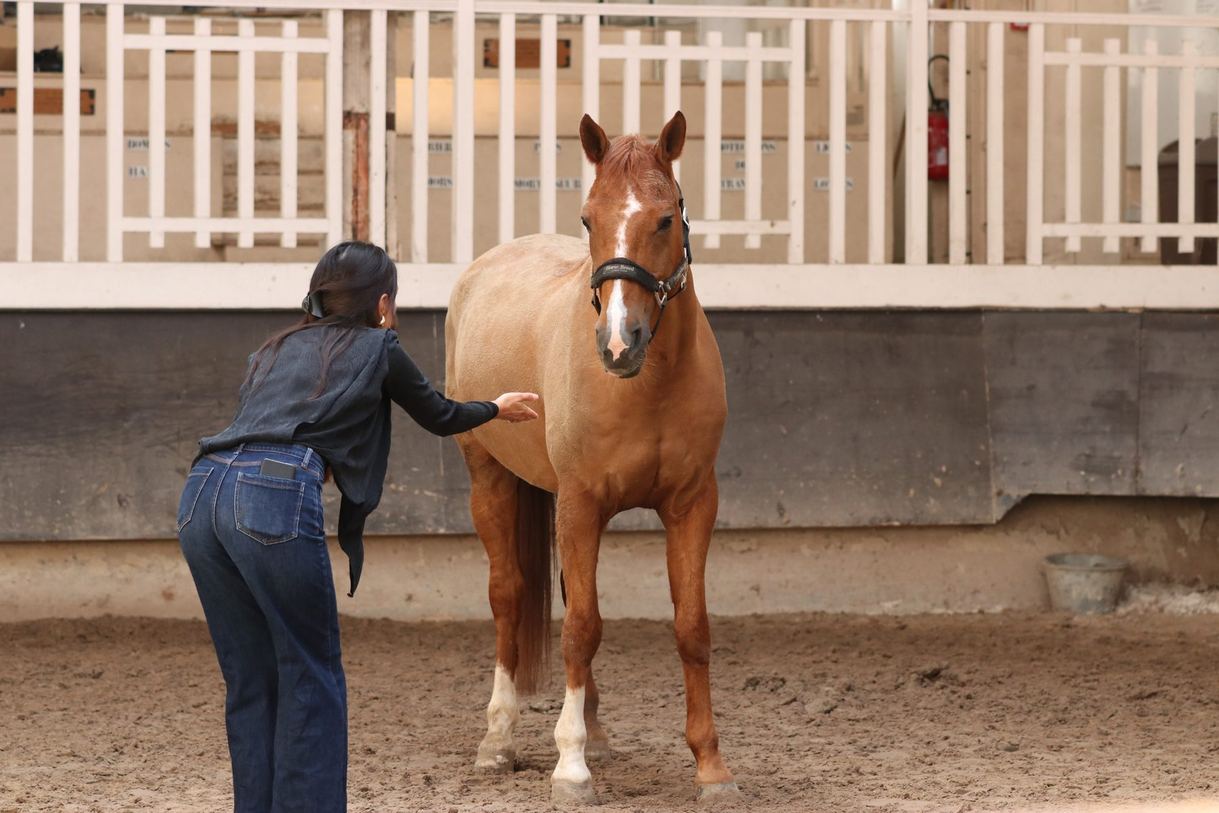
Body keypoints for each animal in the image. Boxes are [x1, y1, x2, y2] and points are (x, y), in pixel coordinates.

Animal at [444, 110, 737, 803]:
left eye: (666, 217)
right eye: (588, 220)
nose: (618, 342)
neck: (647, 383)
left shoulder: (692, 506)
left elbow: (691, 627)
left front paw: (711, 767)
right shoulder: (580, 505)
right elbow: (581, 627)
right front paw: (570, 767)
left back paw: (596, 733)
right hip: (489, 479)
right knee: (509, 594)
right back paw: (498, 741)